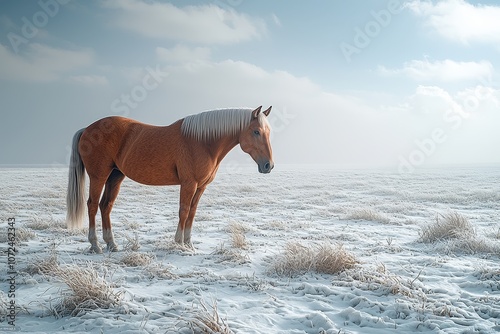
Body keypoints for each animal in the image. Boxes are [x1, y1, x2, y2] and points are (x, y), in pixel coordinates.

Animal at [66, 105, 274, 252]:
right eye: (256, 131)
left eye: (268, 132)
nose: (268, 166)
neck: (203, 142)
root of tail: (87, 129)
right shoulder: (189, 184)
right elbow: (183, 211)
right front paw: (179, 243)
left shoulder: (201, 187)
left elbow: (192, 212)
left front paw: (189, 245)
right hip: (99, 176)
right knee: (93, 205)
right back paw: (95, 245)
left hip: (115, 177)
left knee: (105, 206)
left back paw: (112, 244)